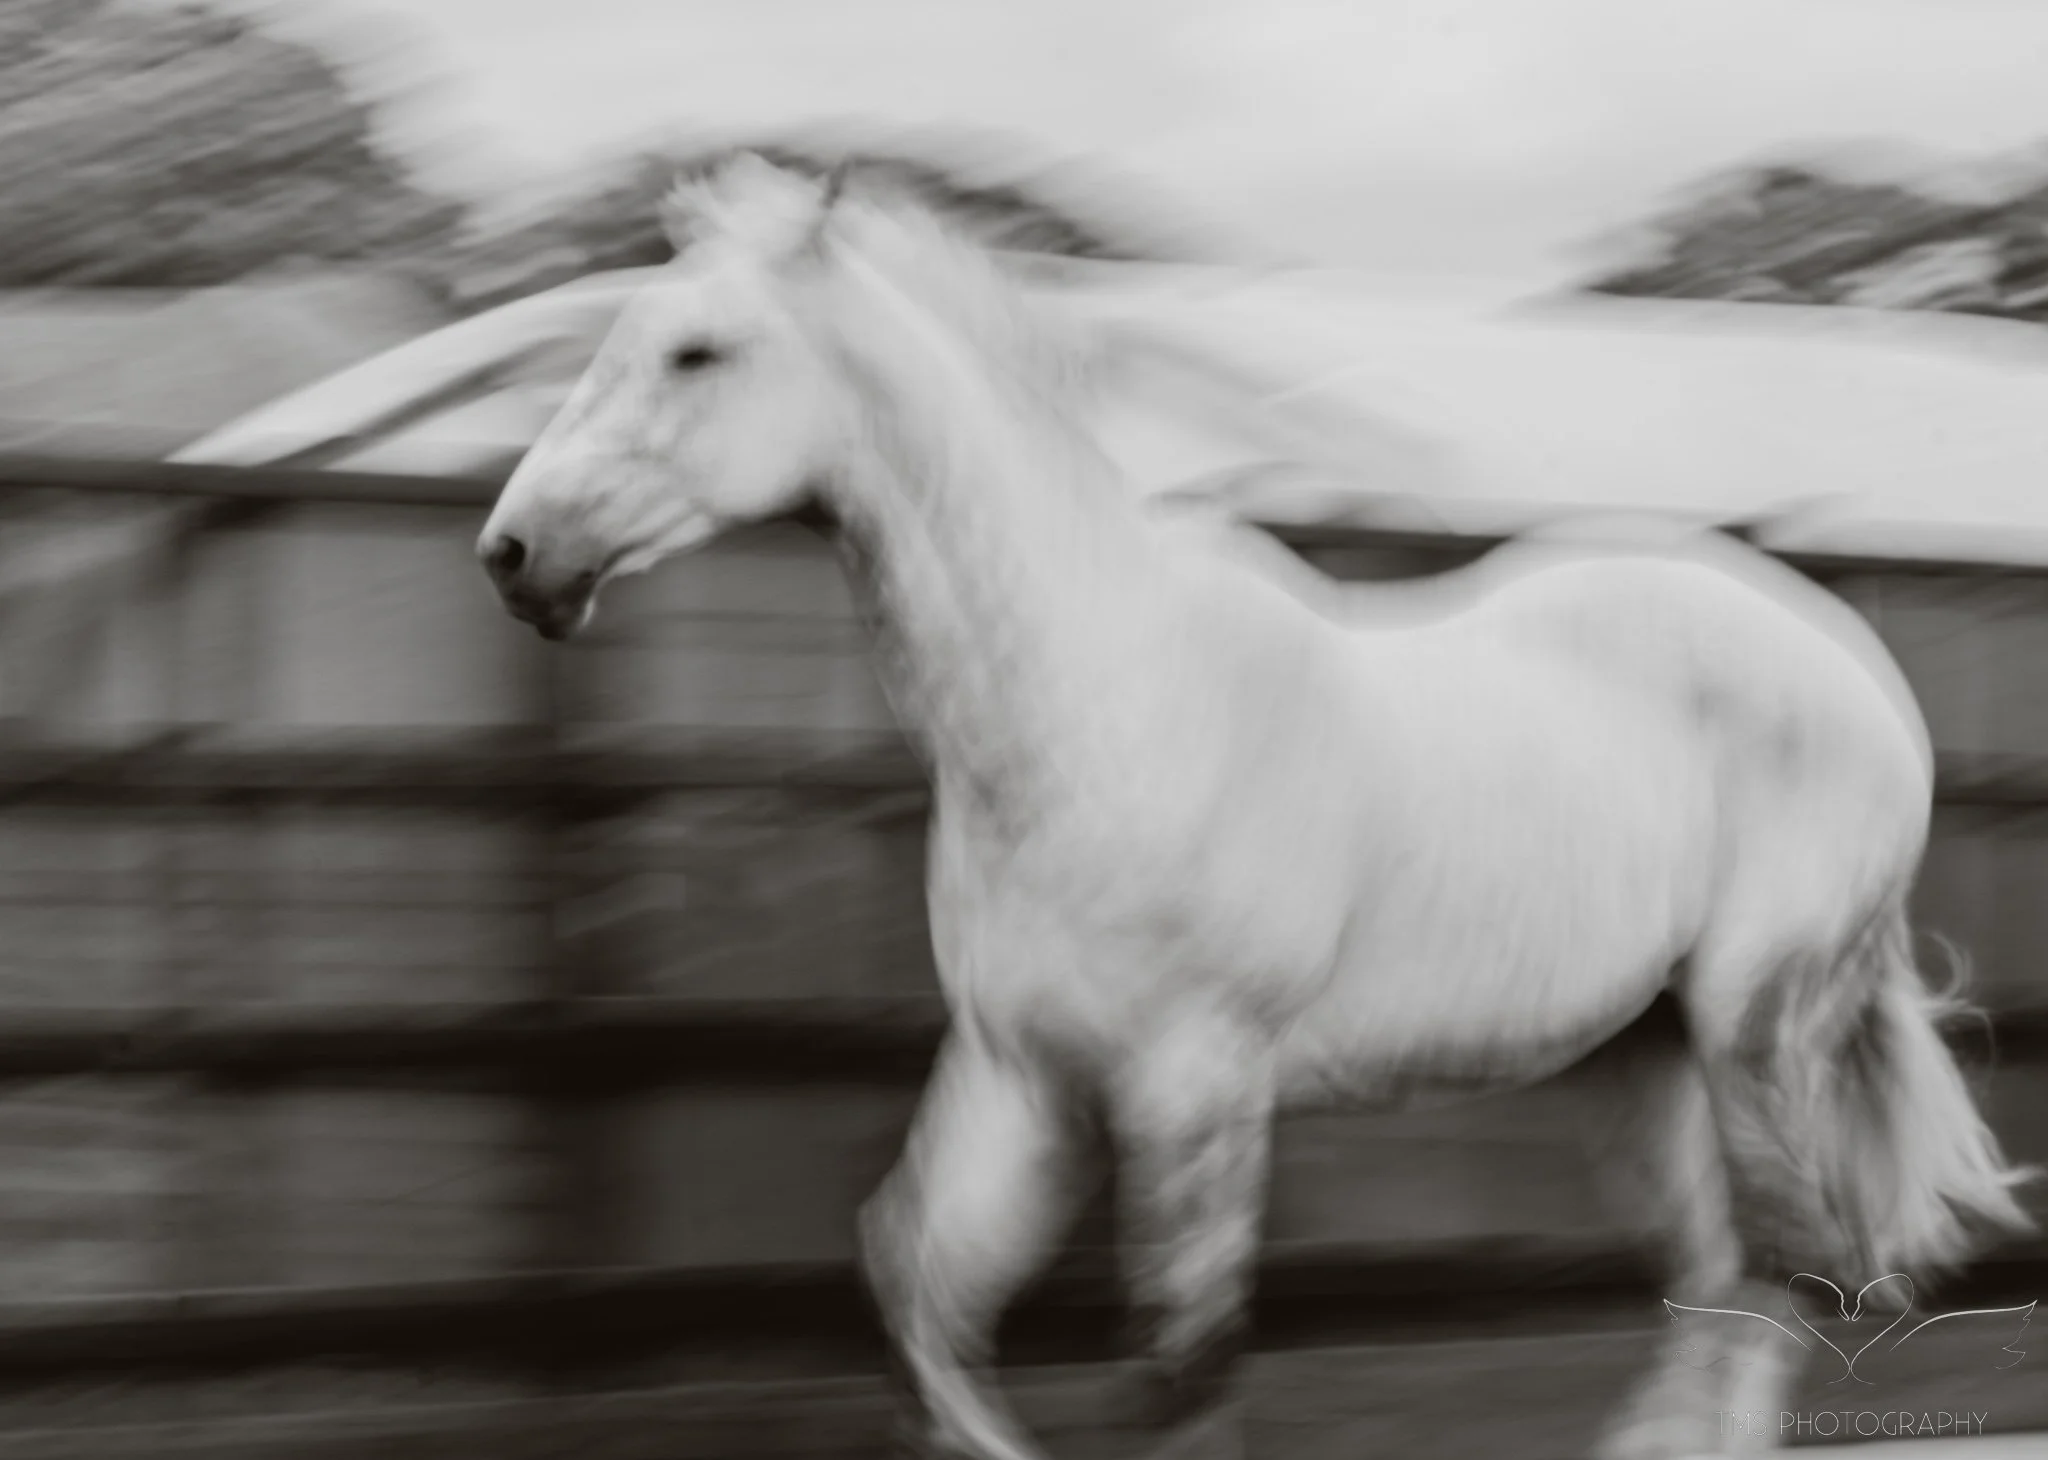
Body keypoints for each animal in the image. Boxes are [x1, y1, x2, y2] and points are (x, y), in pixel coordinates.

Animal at [472, 153, 2033, 1459]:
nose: (514, 552)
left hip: (1750, 1024)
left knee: (1783, 1274)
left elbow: (1184, 1369)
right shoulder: (1025, 1075)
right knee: (1718, 1286)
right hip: (1633, 1056)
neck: (1099, 711)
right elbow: (917, 1293)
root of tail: (1856, 670)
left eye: (697, 349)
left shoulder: (1195, 1086)